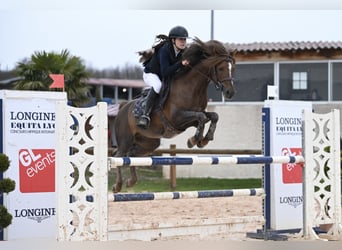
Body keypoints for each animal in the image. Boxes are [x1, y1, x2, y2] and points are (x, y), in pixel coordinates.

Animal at [112, 38, 235, 192]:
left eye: (232, 68)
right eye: (221, 69)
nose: (230, 93)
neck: (192, 87)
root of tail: (123, 107)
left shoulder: (190, 119)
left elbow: (212, 116)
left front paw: (204, 140)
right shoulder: (177, 118)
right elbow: (201, 117)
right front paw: (193, 140)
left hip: (148, 142)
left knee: (131, 155)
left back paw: (131, 181)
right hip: (125, 139)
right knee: (119, 156)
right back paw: (118, 185)